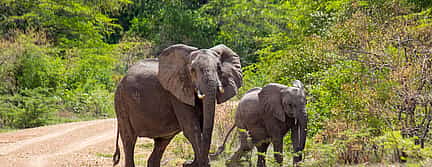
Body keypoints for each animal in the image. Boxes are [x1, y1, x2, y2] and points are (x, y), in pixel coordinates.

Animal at [112, 43, 243, 166]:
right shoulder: (176, 94)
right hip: (121, 102)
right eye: (192, 71)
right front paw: (199, 164)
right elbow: (192, 128)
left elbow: (202, 125)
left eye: (219, 68)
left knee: (161, 143)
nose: (187, 163)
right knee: (129, 139)